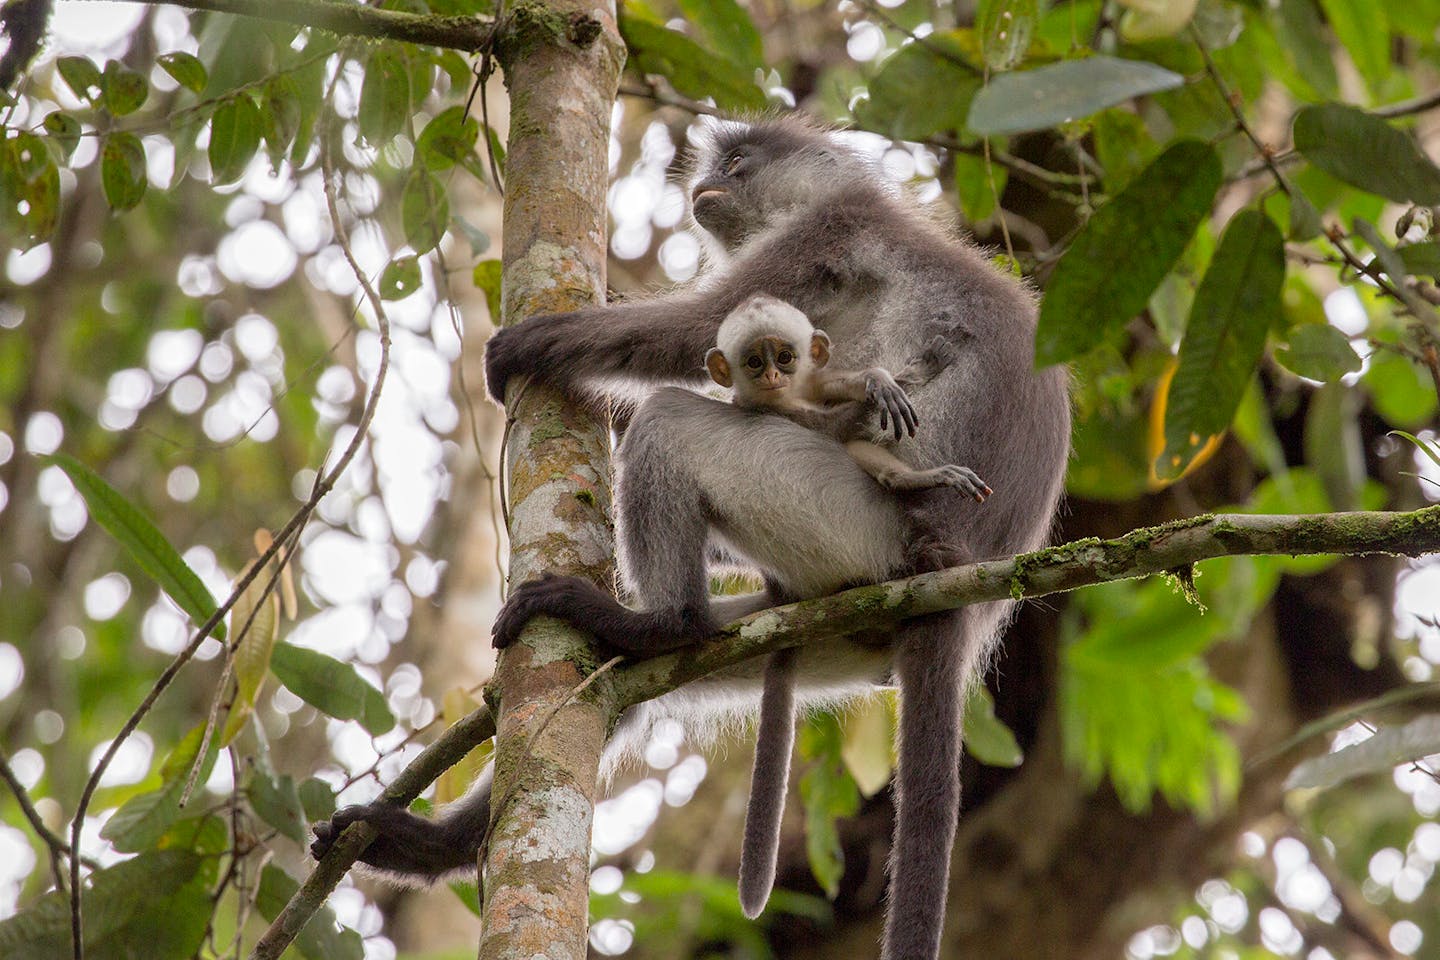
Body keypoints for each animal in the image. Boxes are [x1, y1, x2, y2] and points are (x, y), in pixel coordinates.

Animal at [705, 296, 990, 500]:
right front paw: (917, 373)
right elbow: (831, 430)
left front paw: (879, 381)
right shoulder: (768, 408)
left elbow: (831, 385)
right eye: (754, 362)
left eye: (784, 357)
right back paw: (910, 480)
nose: (771, 375)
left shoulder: (810, 383)